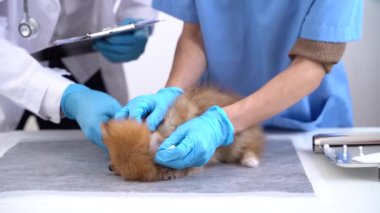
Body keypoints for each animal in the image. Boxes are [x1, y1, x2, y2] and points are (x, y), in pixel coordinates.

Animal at [102, 85, 266, 182]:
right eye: (112, 157)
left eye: (119, 168)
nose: (110, 167)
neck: (168, 131)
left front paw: (172, 173)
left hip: (241, 139)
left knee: (253, 146)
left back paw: (250, 159)